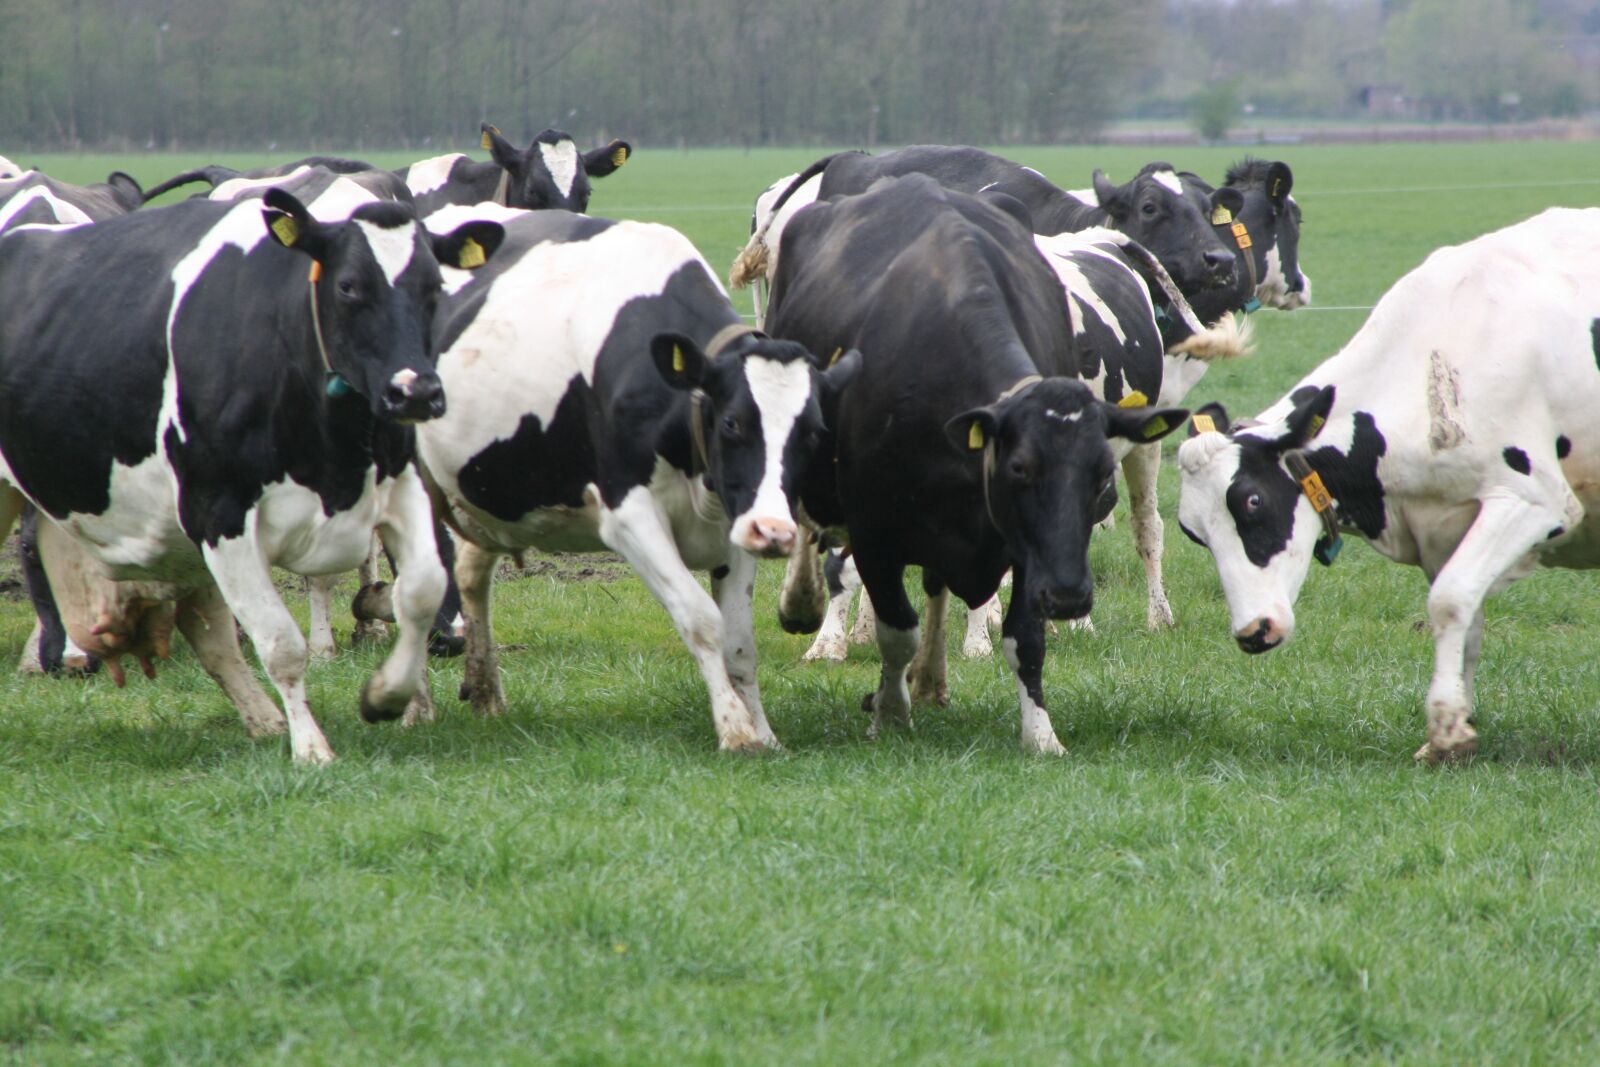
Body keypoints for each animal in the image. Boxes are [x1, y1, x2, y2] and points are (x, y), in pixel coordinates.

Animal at [0, 172, 504, 762]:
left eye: (435, 288)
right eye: (348, 286)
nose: (417, 392)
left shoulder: (401, 487)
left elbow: (420, 592)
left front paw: (387, 695)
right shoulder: (218, 512)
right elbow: (281, 643)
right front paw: (312, 750)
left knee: (210, 637)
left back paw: (263, 720)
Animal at [404, 202, 855, 751]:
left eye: (813, 431)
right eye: (732, 422)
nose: (776, 532)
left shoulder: (737, 518)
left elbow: (739, 642)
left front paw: (763, 731)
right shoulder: (629, 516)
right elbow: (700, 620)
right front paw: (734, 729)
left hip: (483, 490)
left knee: (471, 574)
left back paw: (486, 692)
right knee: (415, 585)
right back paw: (416, 704)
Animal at [765, 175, 1186, 753]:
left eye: (1101, 480)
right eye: (1019, 469)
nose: (1070, 596)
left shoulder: (1023, 543)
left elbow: (1024, 639)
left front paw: (1041, 734)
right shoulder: (875, 528)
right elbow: (894, 627)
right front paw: (889, 711)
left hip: (1141, 453)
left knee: (1146, 530)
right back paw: (806, 606)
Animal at [1175, 207, 1600, 762]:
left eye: (1252, 500)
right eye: (1194, 534)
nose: (1253, 632)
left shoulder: (1533, 500)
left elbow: (1449, 600)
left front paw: (1444, 729)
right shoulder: (1443, 527)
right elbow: (1466, 620)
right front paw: (1457, 726)